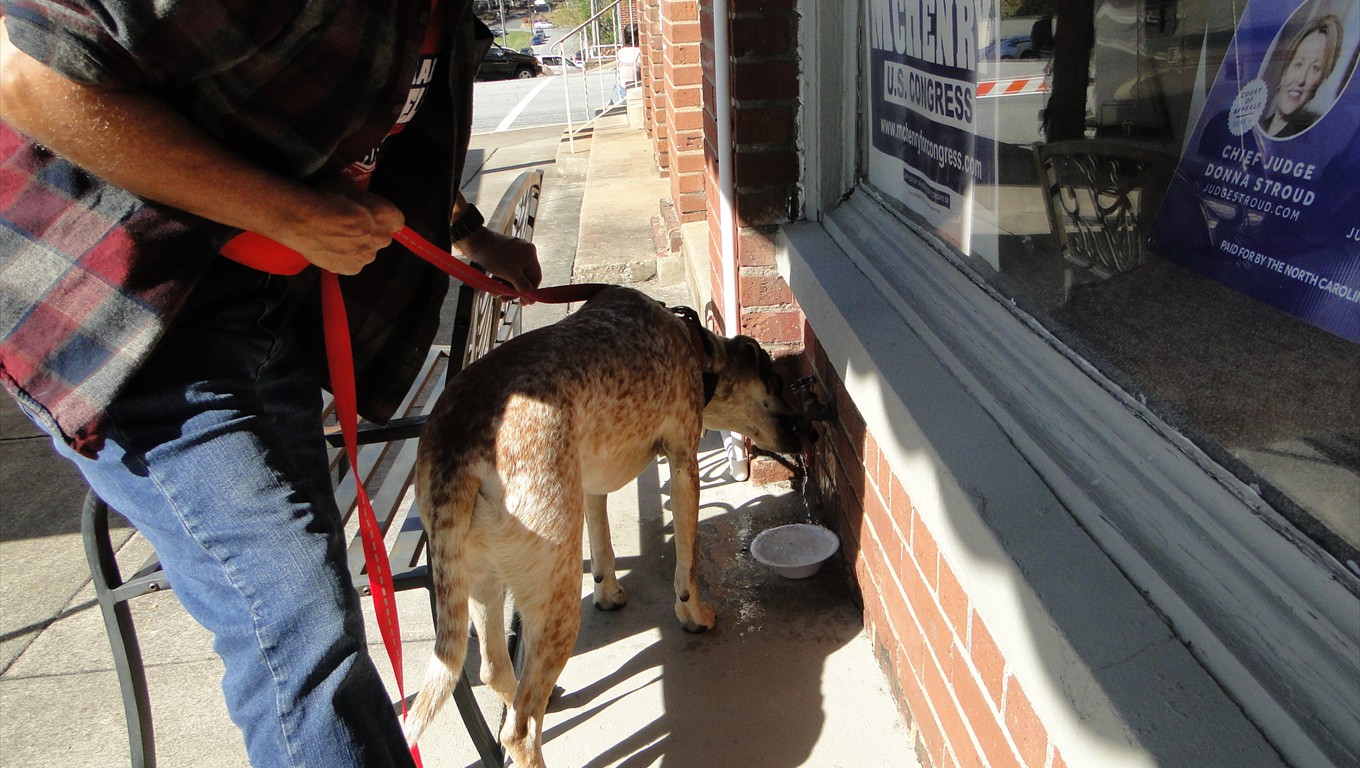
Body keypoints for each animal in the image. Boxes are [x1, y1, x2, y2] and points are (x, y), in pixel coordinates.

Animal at [402, 284, 805, 761]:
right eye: (777, 382)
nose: (810, 432)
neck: (695, 347)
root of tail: (456, 449)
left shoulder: (590, 484)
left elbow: (603, 544)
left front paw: (608, 592)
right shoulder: (684, 462)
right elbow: (686, 564)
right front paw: (693, 613)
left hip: (479, 579)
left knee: (494, 670)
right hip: (554, 594)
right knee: (520, 729)